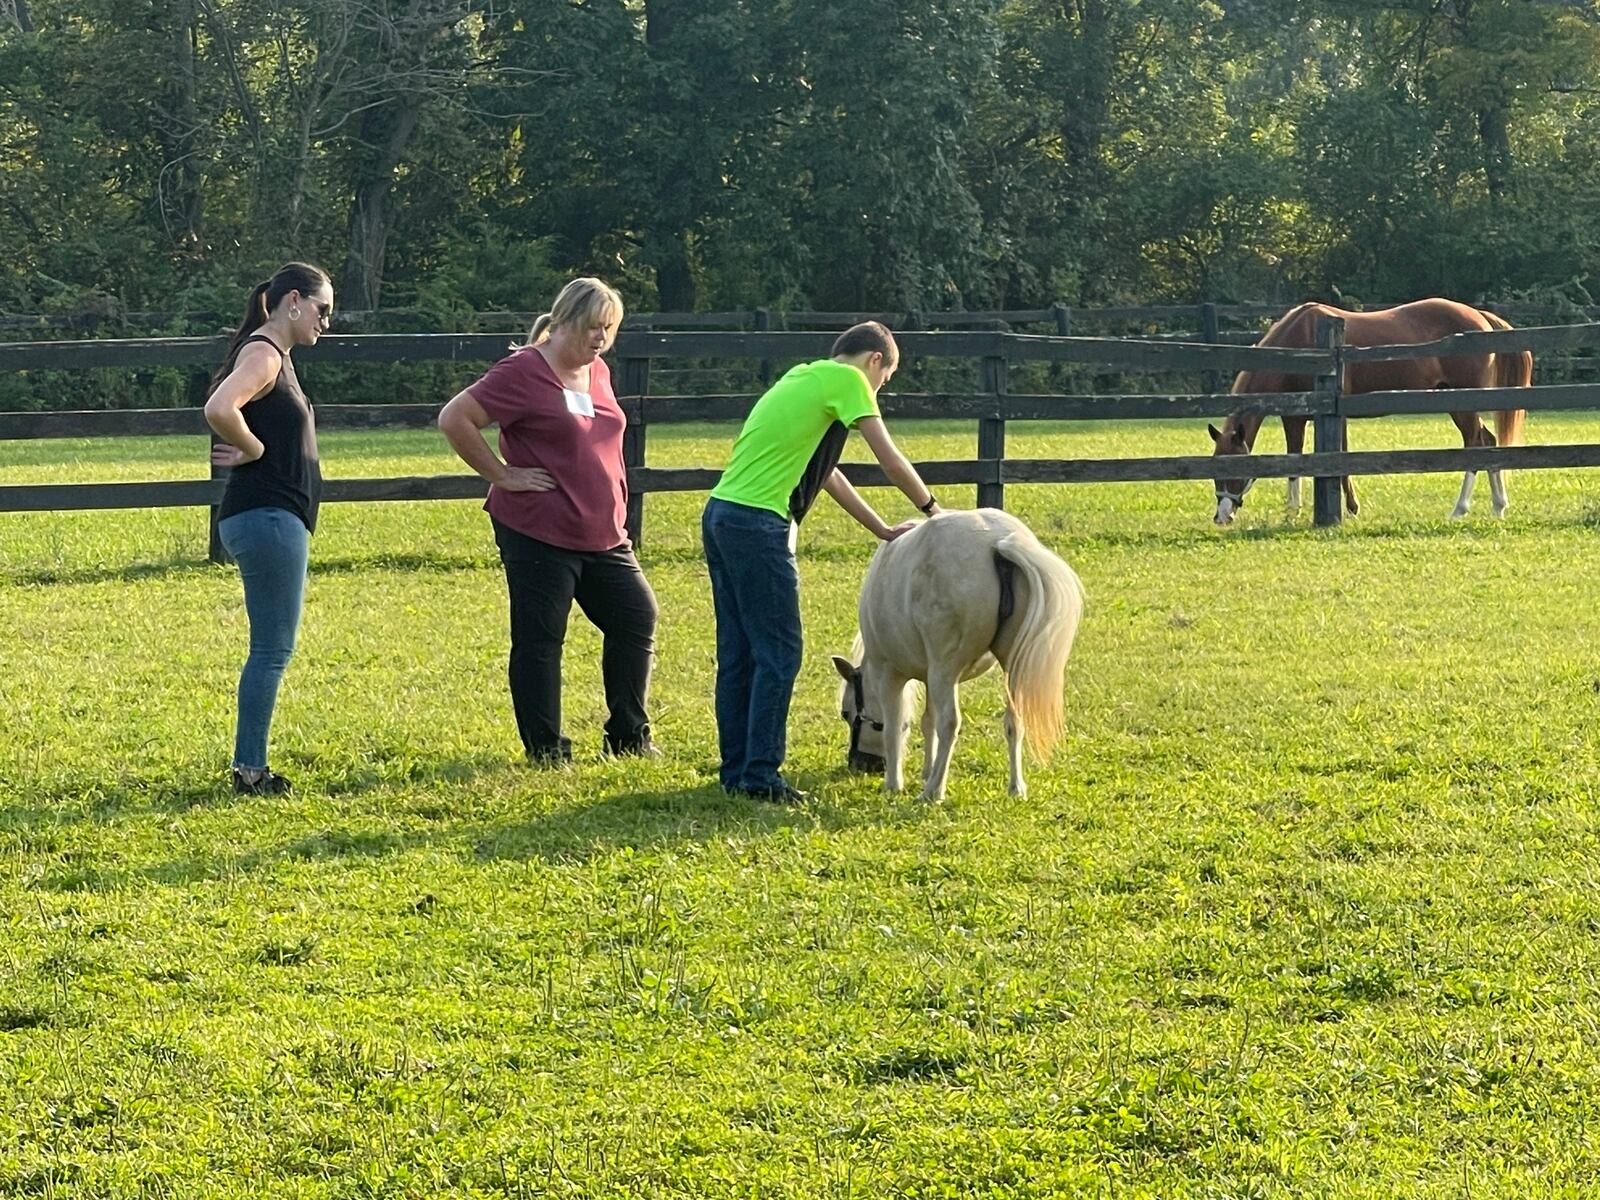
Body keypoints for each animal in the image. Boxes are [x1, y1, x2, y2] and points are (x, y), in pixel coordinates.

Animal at [832, 508, 1081, 800]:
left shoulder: (890, 673)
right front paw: (927, 770)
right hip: (1006, 667)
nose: (860, 764)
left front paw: (894, 783)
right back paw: (1015, 787)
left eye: (846, 713)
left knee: (950, 723)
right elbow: (928, 722)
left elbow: (894, 727)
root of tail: (998, 543)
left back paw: (933, 791)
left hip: (945, 669)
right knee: (1014, 721)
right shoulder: (930, 677)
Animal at [1209, 299, 1536, 524]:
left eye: (1233, 472)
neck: (1298, 343)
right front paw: (1293, 511)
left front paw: (1348, 508)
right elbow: (1294, 460)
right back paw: (1498, 507)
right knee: (1487, 441)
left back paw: (1459, 509)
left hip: (1463, 400)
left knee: (1475, 443)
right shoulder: (1294, 416)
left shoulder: (1328, 414)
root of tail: (1480, 316)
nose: (1222, 516)